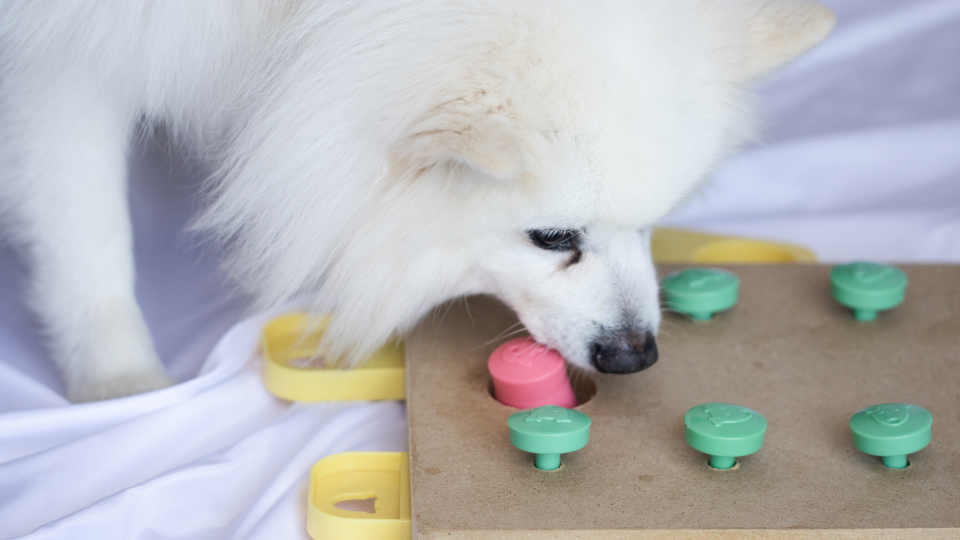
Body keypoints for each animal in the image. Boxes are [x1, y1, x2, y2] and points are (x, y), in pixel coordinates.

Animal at [0, 1, 832, 400]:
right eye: (553, 237)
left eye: (655, 224)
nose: (635, 356)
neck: (293, 16)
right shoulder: (60, 57)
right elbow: (83, 228)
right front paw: (117, 379)